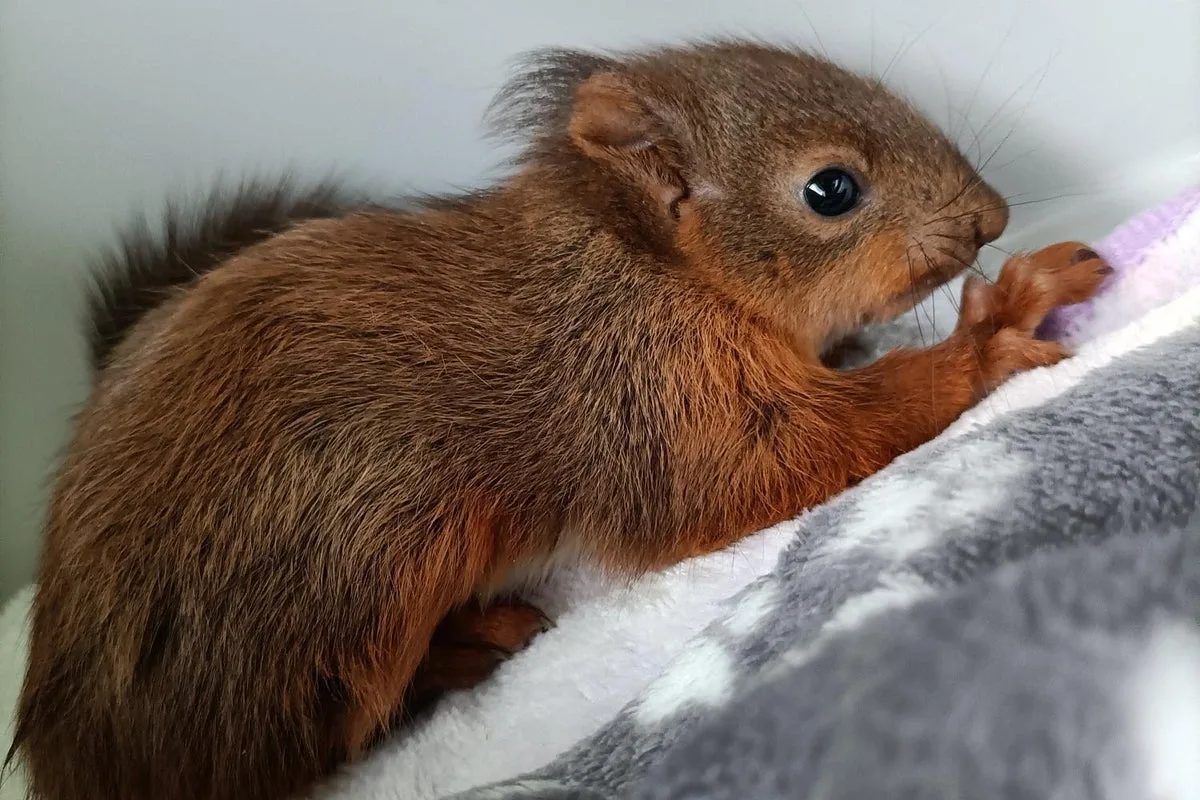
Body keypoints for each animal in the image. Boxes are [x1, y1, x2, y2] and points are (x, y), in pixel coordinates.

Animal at [5, 40, 1108, 800]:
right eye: (830, 189)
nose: (991, 215)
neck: (653, 263)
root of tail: (79, 751)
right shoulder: (645, 388)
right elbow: (765, 464)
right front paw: (993, 330)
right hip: (351, 563)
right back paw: (469, 644)